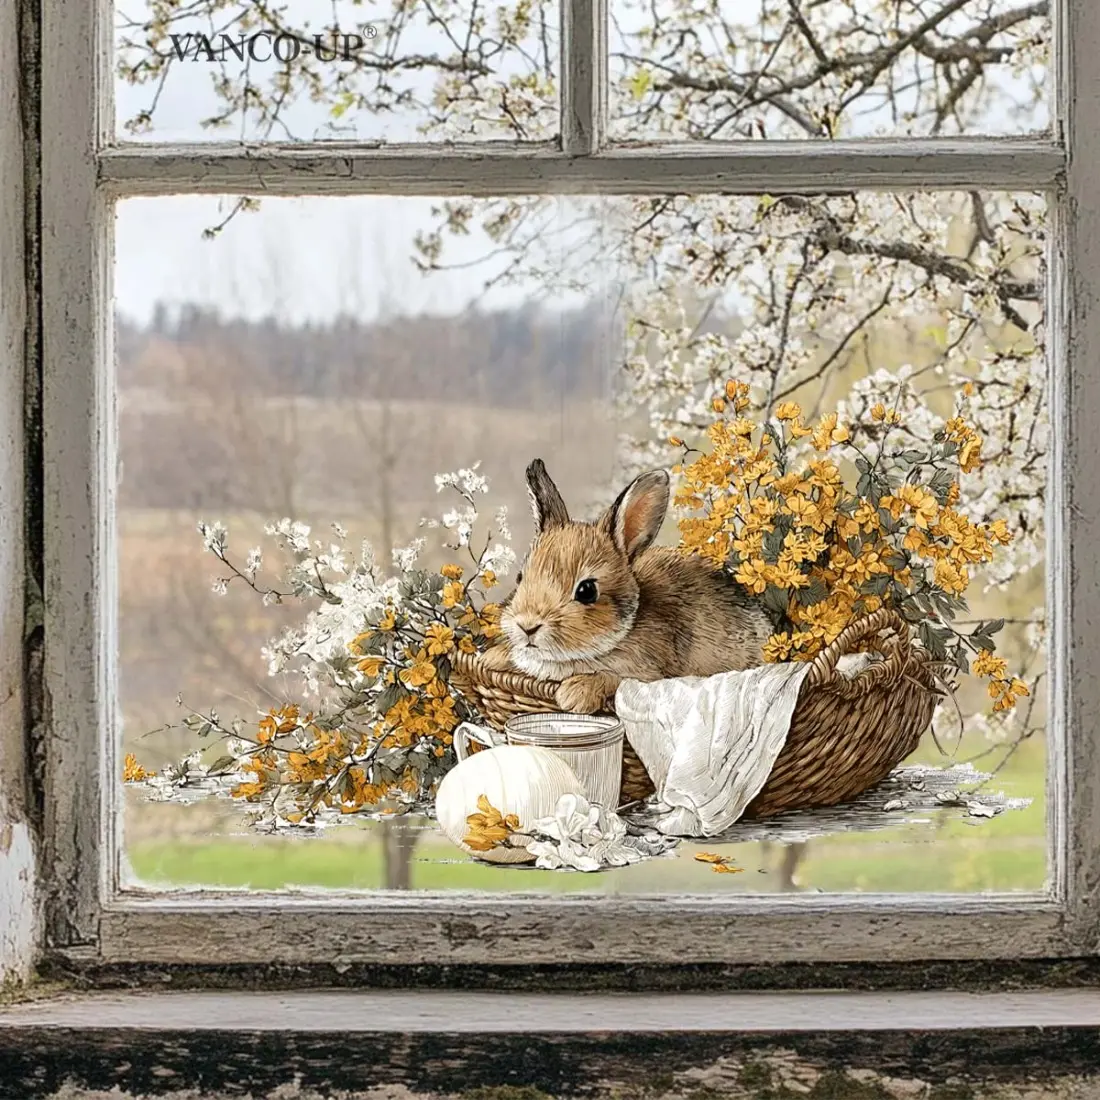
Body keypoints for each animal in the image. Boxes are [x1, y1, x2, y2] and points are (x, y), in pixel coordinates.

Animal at [479, 458, 774, 715]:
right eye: (520, 578)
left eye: (587, 591)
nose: (527, 626)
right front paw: (491, 657)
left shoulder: (649, 675)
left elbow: (614, 679)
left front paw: (575, 694)